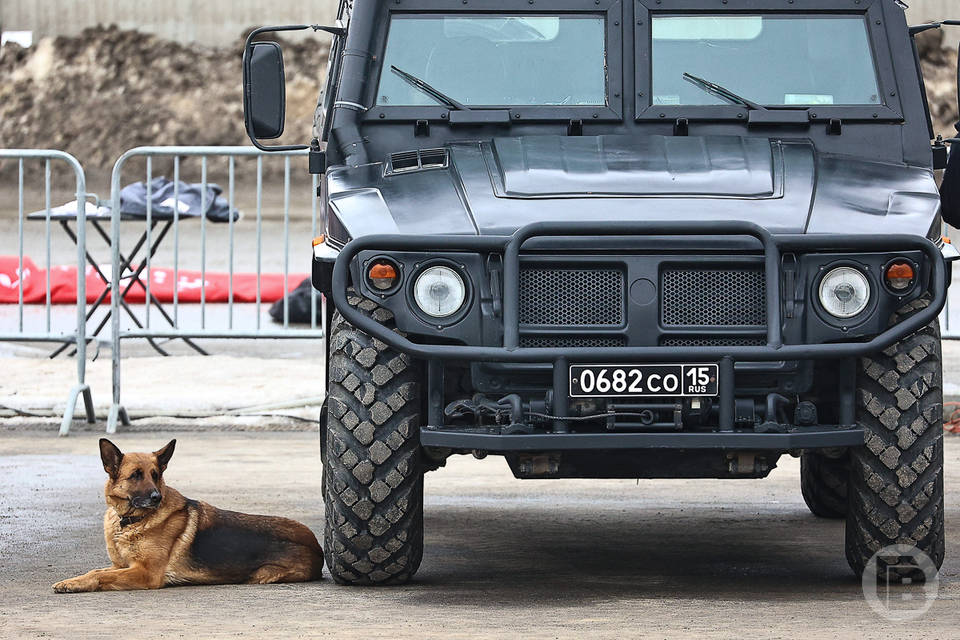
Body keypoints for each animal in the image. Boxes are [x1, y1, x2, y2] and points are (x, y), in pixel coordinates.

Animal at [54, 438, 324, 592]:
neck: (130, 522)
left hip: (263, 573)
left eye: (155, 475)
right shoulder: (120, 565)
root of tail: (316, 544)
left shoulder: (145, 573)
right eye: (135, 475)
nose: (156, 498)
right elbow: (96, 571)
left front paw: (74, 584)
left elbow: (102, 576)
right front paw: (72, 580)